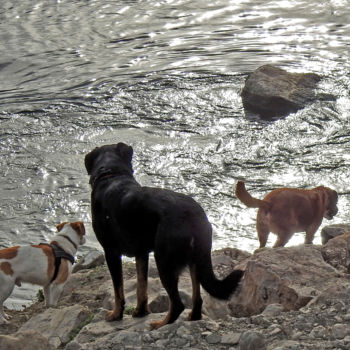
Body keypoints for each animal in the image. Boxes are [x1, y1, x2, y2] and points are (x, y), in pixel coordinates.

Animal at [85, 142, 243, 328]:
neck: (111, 175)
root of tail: (193, 215)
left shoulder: (111, 252)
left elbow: (119, 290)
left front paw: (116, 314)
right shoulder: (141, 253)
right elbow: (141, 286)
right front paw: (140, 312)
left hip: (164, 261)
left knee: (177, 304)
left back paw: (160, 324)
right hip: (194, 259)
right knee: (197, 298)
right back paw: (191, 317)